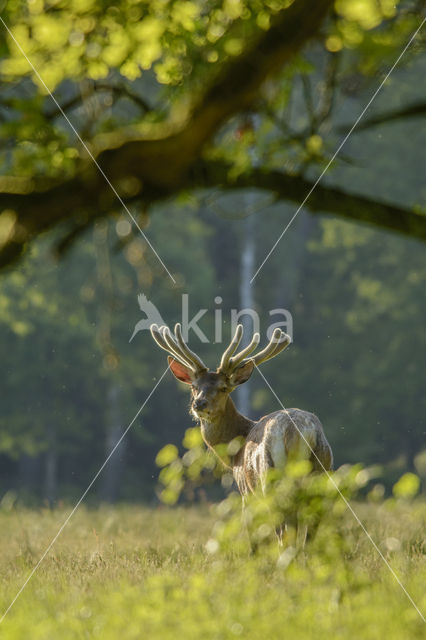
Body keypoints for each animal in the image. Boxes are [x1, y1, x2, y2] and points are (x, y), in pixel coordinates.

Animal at [150, 322, 332, 544]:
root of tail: (299, 433)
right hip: (321, 474)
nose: (199, 404)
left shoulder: (246, 490)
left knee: (284, 529)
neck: (234, 452)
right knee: (309, 529)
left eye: (223, 388)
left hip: (269, 476)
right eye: (194, 386)